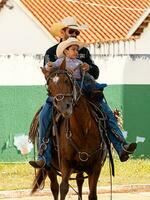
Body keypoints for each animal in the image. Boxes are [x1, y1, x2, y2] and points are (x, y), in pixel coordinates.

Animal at [30, 59, 107, 200]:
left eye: (66, 80)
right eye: (49, 87)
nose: (64, 107)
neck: (84, 129)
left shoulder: (96, 166)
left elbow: (92, 194)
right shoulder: (65, 164)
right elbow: (63, 188)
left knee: (79, 181)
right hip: (50, 167)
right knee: (54, 187)